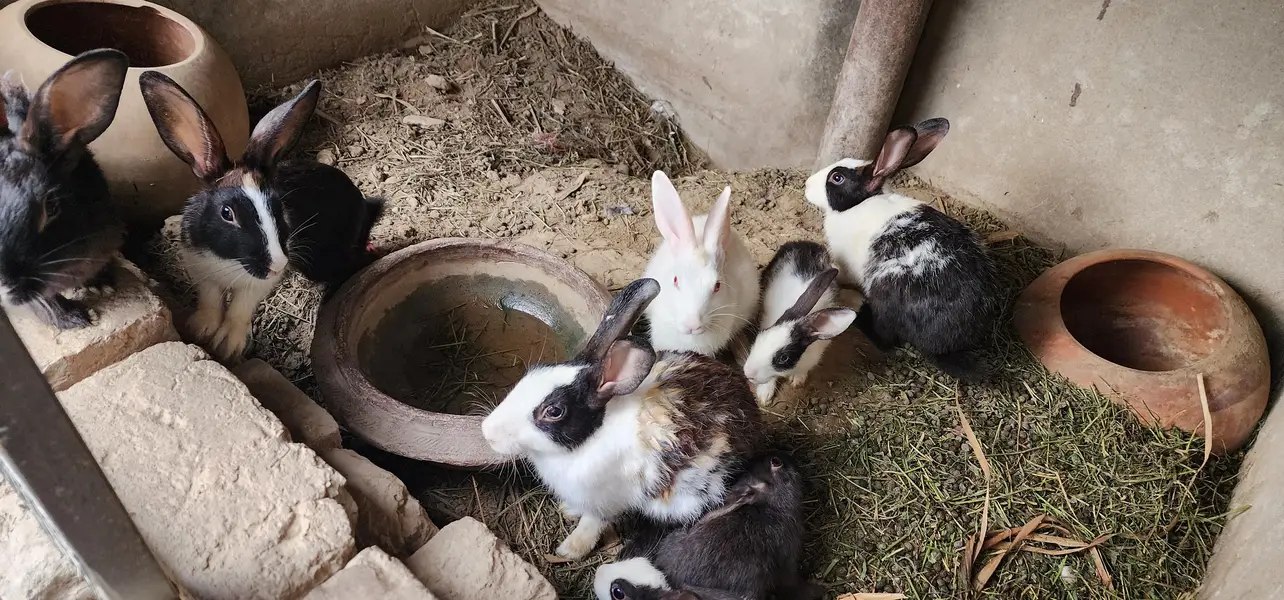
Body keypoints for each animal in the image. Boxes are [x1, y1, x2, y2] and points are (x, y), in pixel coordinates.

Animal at [139, 72, 384, 361]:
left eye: (278, 206)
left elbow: (239, 310)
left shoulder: (253, 287)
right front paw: (201, 331)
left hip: (324, 261)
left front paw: (228, 347)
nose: (277, 265)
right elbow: (211, 301)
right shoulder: (203, 273)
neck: (227, 259)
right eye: (227, 213)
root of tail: (364, 207)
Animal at [481, 277, 764, 560]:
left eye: (554, 411)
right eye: (532, 372)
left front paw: (570, 550)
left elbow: (592, 524)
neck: (593, 435)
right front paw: (567, 510)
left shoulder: (603, 502)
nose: (487, 432)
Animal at [742, 241, 856, 405]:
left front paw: (797, 381)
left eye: (784, 358)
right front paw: (764, 395)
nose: (747, 372)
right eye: (761, 336)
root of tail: (805, 243)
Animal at [805, 118, 1000, 381]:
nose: (806, 185)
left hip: (885, 288)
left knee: (885, 338)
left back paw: (857, 307)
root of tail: (946, 346)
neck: (858, 204)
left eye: (837, 178)